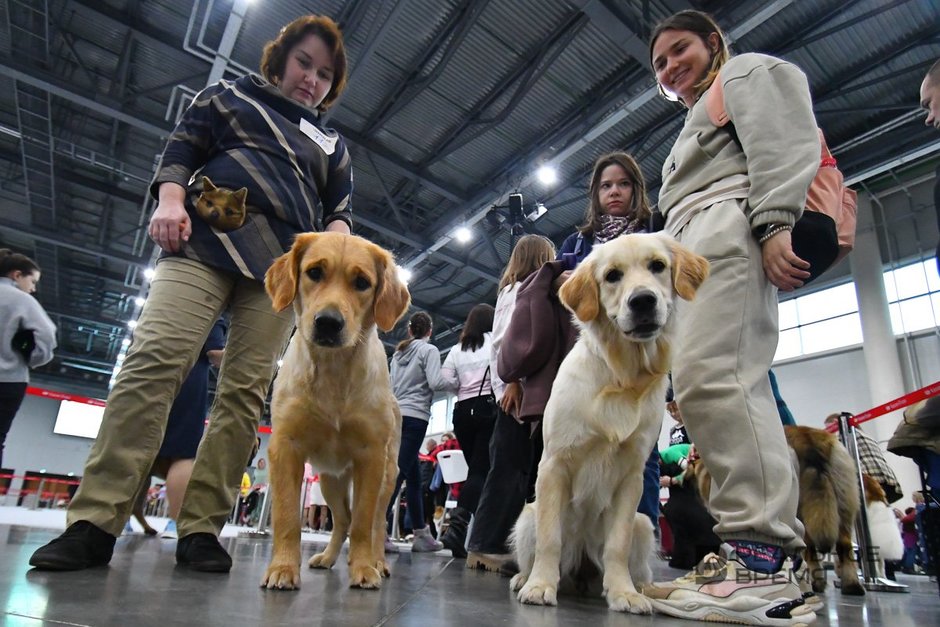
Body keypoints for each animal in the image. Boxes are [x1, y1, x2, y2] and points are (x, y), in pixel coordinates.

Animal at [262, 233, 414, 592]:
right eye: (314, 272)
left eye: (362, 283)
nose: (328, 322)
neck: (333, 371)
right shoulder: (285, 447)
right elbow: (287, 517)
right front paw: (283, 567)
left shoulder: (371, 456)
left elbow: (363, 523)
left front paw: (363, 568)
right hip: (329, 479)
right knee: (341, 520)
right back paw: (328, 557)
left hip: (388, 477)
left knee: (375, 524)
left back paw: (377, 561)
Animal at [510, 233, 708, 612]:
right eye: (612, 275)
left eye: (657, 266)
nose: (643, 300)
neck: (622, 375)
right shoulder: (554, 465)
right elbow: (550, 538)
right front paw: (540, 586)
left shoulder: (632, 476)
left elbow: (617, 545)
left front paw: (623, 593)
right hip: (527, 514)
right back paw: (524, 578)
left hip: (644, 524)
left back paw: (641, 587)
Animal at [688, 424, 864, 596]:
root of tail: (806, 437)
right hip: (843, 503)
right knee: (844, 546)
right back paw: (851, 585)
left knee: (810, 549)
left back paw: (816, 582)